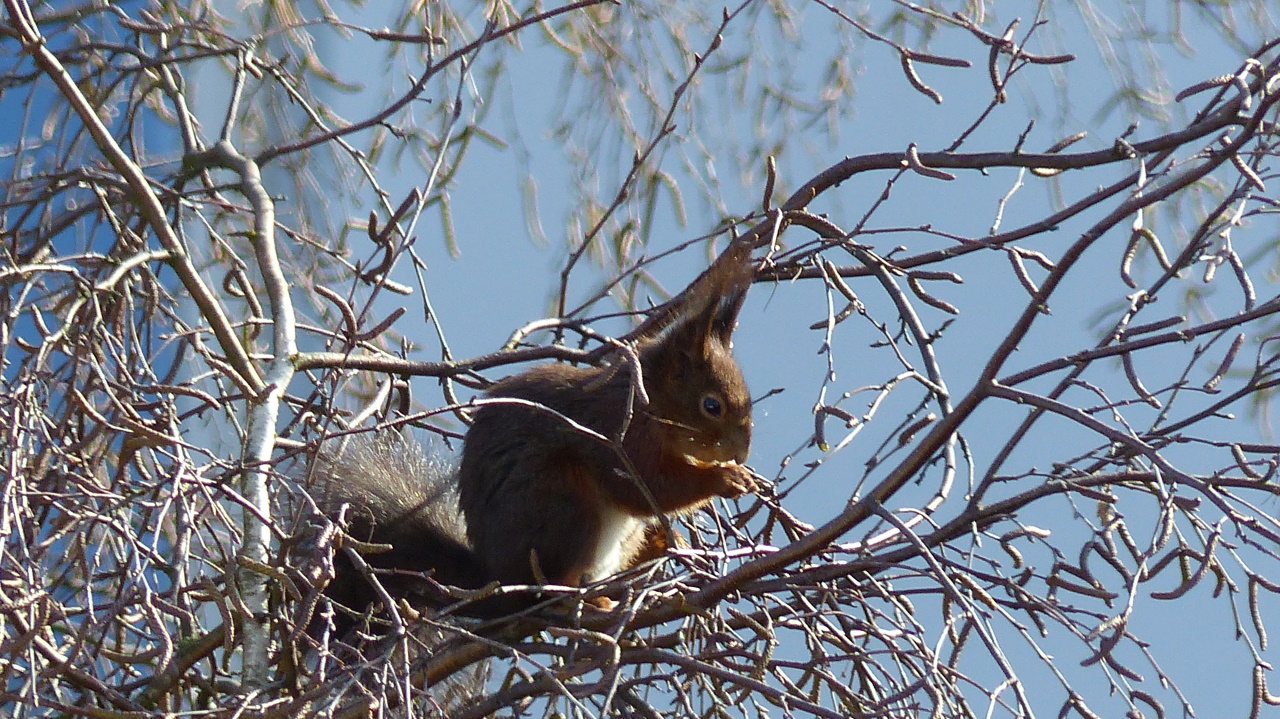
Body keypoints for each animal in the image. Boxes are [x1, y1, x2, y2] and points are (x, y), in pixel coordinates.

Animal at [311, 243, 757, 624]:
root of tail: (498, 580)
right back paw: (586, 602)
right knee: (555, 585)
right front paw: (724, 479)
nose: (742, 452)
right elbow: (646, 485)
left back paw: (656, 547)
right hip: (563, 505)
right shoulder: (618, 433)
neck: (650, 400)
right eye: (711, 405)